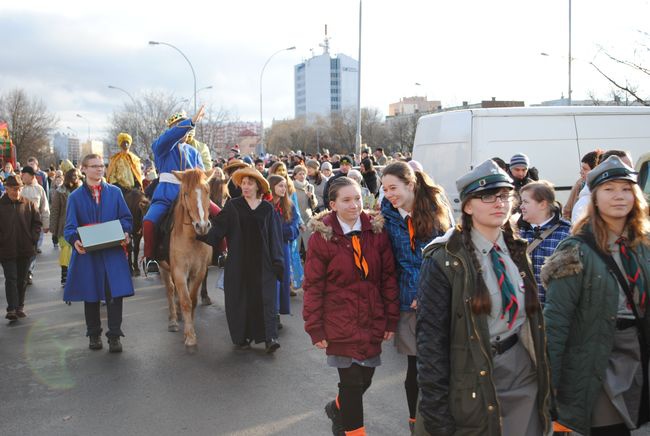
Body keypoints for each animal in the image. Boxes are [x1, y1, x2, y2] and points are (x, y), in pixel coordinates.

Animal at [159, 168, 213, 350]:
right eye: (186, 193)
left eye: (207, 191)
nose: (202, 226)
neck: (192, 238)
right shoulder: (179, 270)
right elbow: (186, 300)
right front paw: (189, 336)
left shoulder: (199, 271)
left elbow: (193, 299)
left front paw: (191, 327)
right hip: (163, 267)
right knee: (170, 290)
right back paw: (173, 320)